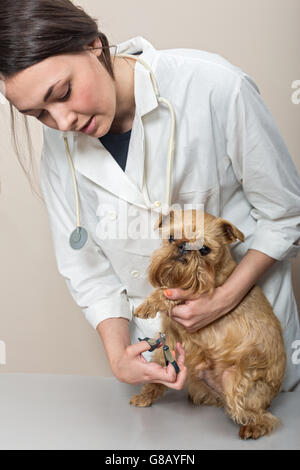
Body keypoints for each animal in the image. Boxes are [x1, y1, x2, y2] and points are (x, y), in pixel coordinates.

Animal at [131, 210, 286, 440]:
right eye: (171, 238)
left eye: (204, 249)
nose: (183, 246)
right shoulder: (169, 343)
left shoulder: (199, 291)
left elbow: (168, 294)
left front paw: (149, 303)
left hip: (237, 381)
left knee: (263, 416)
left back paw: (254, 427)